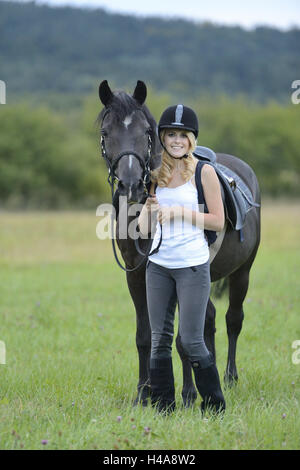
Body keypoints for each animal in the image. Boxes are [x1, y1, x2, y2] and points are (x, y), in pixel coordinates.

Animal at [98, 81, 260, 408]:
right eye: (106, 133)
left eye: (146, 132)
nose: (131, 187)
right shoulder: (137, 276)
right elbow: (145, 334)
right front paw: (143, 394)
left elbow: (181, 337)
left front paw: (187, 395)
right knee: (208, 320)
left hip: (242, 272)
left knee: (233, 320)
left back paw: (229, 378)